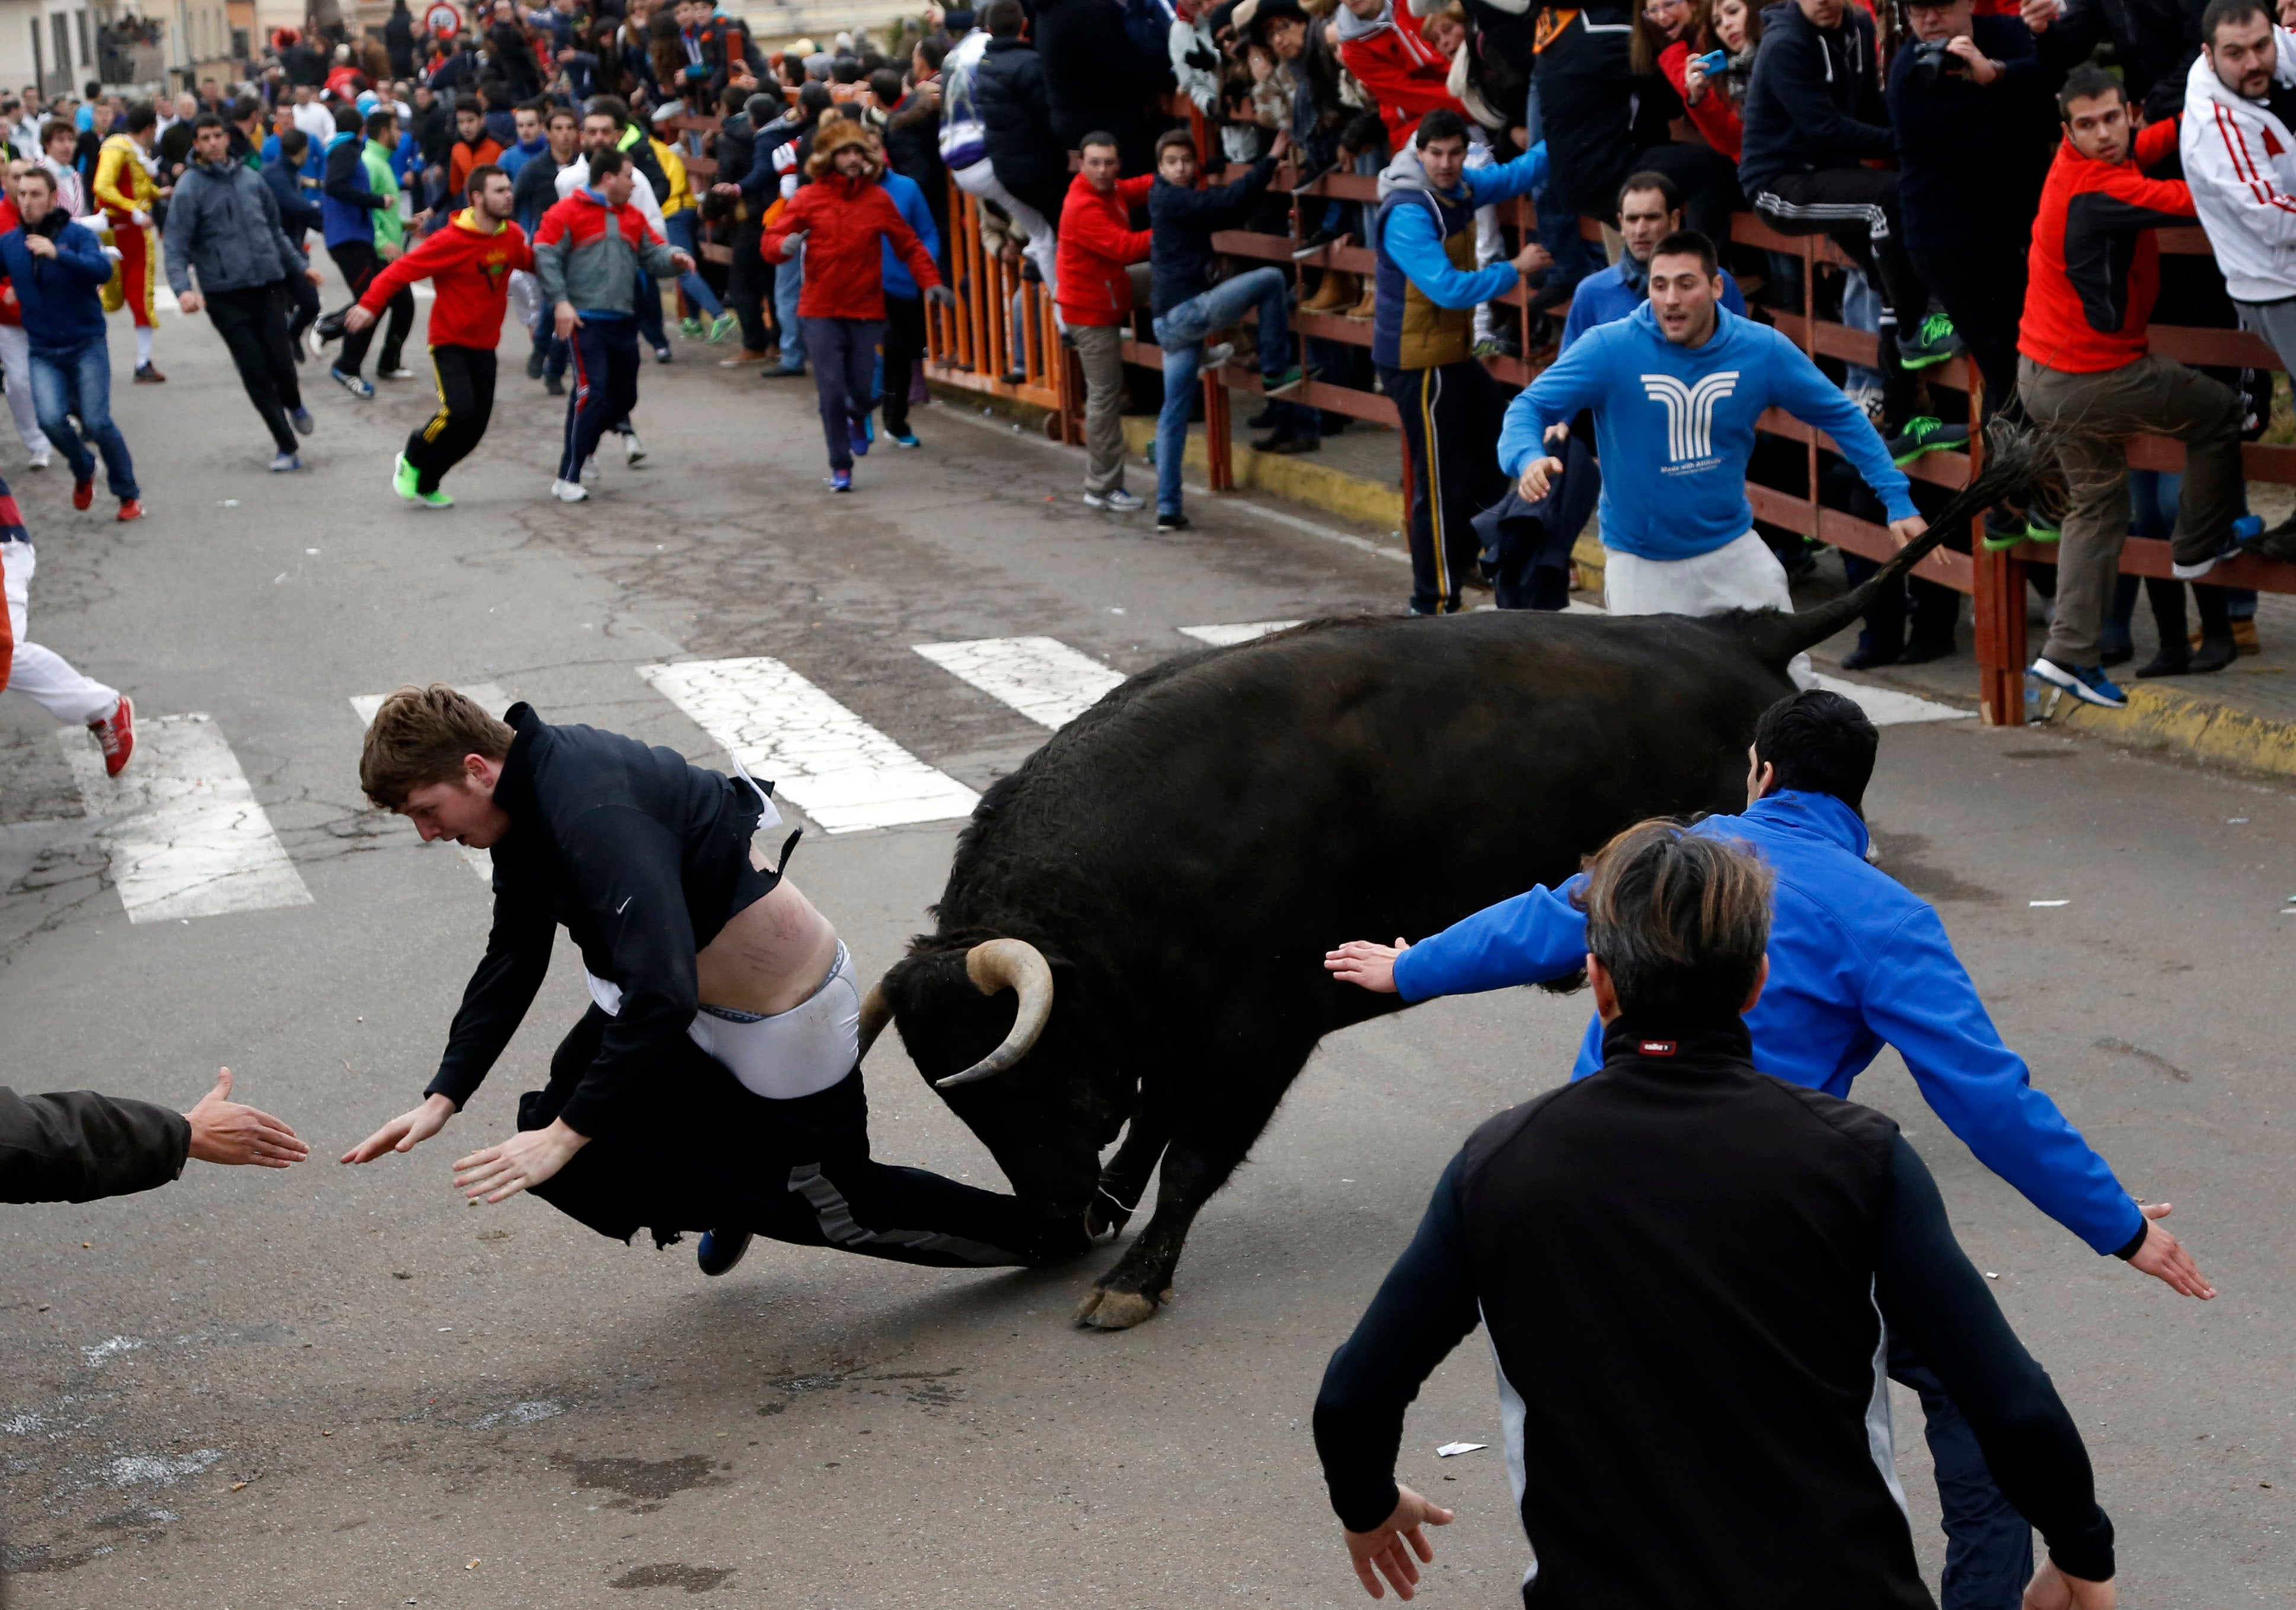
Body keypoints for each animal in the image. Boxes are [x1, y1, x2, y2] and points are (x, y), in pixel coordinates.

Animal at [863, 445, 2029, 1322]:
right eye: (961, 1094)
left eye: (1020, 1072)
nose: (1054, 1220)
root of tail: (1734, 634)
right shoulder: (1174, 1026)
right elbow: (1153, 1124)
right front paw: (1117, 1210)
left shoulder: (1257, 1026)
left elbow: (1192, 1149)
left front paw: (1133, 1280)